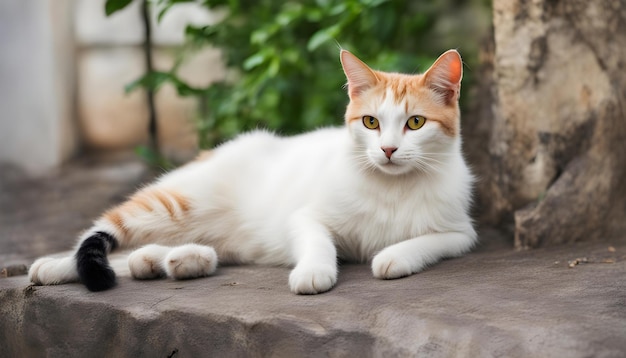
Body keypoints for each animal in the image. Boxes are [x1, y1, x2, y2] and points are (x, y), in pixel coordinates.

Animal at [28, 49, 472, 294]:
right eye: (370, 122)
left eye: (415, 123)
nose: (388, 149)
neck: (391, 187)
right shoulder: (305, 216)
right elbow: (318, 240)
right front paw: (313, 271)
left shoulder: (461, 233)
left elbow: (426, 242)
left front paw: (392, 256)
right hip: (171, 206)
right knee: (104, 235)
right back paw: (50, 266)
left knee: (139, 255)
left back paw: (170, 261)